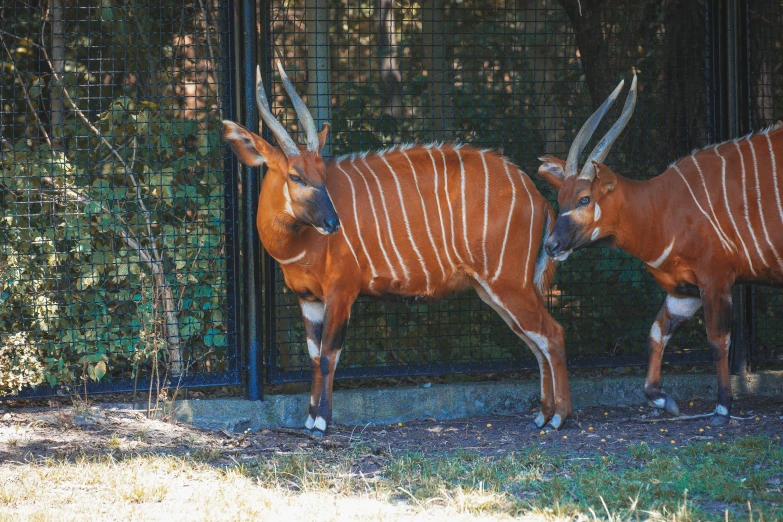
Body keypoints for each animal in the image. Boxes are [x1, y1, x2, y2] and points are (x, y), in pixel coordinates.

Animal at [220, 61, 568, 432]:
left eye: (322, 175)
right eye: (295, 176)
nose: (332, 223)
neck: (296, 246)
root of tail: (537, 197)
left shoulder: (342, 291)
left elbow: (329, 355)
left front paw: (321, 422)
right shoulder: (308, 298)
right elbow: (314, 357)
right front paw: (310, 418)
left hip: (509, 283)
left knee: (553, 333)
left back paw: (559, 417)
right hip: (493, 289)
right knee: (535, 341)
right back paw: (543, 414)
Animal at [540, 75, 783, 424]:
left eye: (584, 198)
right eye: (560, 198)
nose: (551, 245)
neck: (664, 209)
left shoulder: (716, 280)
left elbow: (718, 340)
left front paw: (722, 408)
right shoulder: (684, 290)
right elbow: (656, 332)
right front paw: (662, 399)